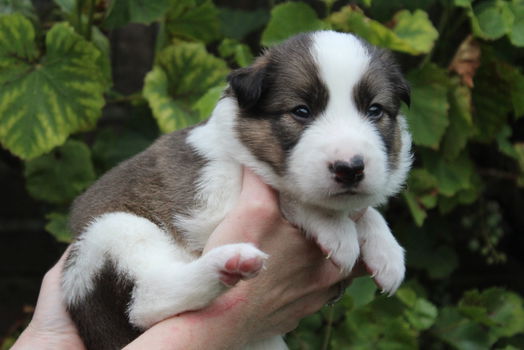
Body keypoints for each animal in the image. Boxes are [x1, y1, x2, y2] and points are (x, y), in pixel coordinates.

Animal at [61, 30, 412, 350]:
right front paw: (336, 229)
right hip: (109, 233)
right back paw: (228, 261)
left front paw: (387, 251)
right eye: (301, 111)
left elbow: (368, 213)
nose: (350, 168)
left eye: (375, 110)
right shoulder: (211, 197)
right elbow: (290, 195)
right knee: (147, 301)